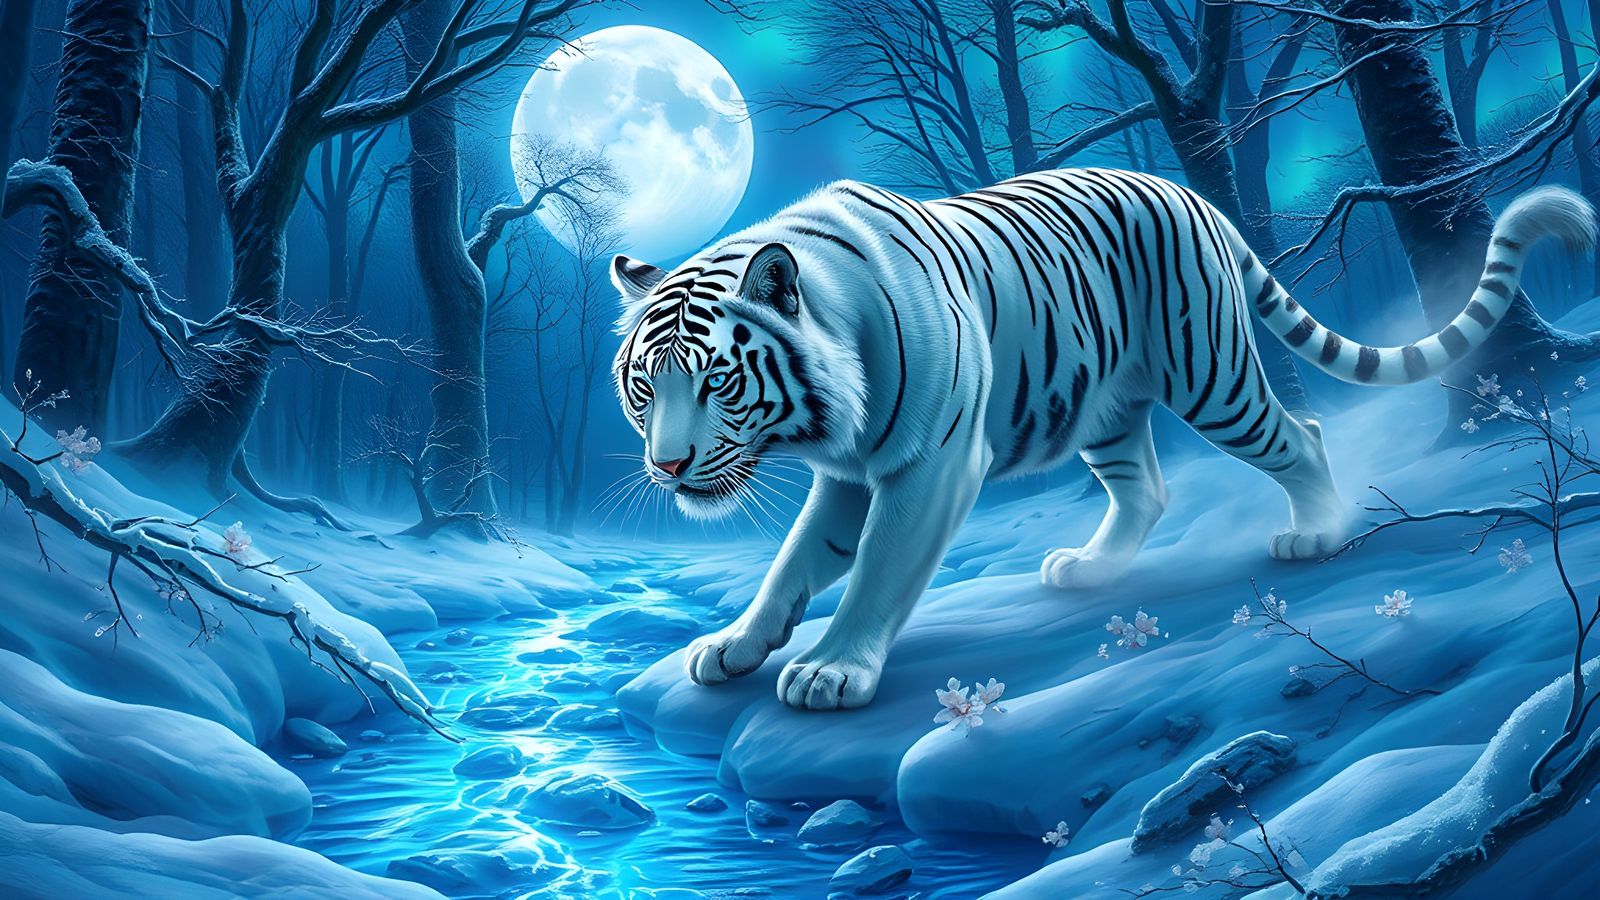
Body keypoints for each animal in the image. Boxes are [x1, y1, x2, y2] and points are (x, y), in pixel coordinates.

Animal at [609, 168, 1594, 711]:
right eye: (644, 388)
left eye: (717, 380)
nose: (669, 465)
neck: (821, 421)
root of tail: (1188, 191)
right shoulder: (849, 474)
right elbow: (793, 565)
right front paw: (733, 646)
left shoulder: (929, 464)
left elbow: (878, 572)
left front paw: (831, 672)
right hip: (1103, 408)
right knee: (1147, 489)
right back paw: (1089, 568)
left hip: (1212, 376)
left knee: (1302, 433)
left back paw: (1316, 533)